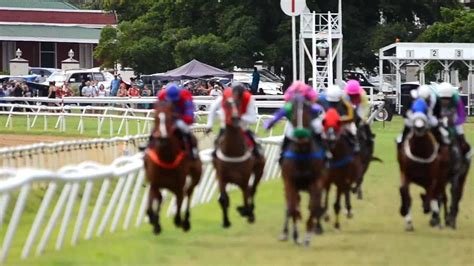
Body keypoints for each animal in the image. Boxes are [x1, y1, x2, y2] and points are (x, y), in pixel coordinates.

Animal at [145, 101, 203, 234]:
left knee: (189, 193)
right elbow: (154, 201)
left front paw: (178, 221)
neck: (166, 158)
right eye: (156, 118)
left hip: (195, 176)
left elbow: (178, 204)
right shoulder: (154, 183)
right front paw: (155, 222)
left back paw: (185, 222)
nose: (162, 138)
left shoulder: (178, 187)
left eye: (170, 119)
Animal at [213, 94, 264, 228]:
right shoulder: (221, 177)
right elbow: (223, 199)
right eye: (226, 103)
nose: (235, 118)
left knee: (253, 189)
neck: (233, 152)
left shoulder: (244, 178)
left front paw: (246, 212)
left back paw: (250, 212)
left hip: (259, 171)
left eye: (238, 103)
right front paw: (226, 222)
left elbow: (246, 196)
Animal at [278, 94, 326, 246]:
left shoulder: (317, 182)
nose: (301, 135)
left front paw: (308, 235)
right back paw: (285, 232)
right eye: (291, 114)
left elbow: (314, 206)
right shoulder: (290, 182)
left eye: (308, 112)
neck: (302, 153)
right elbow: (293, 208)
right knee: (290, 206)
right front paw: (296, 235)